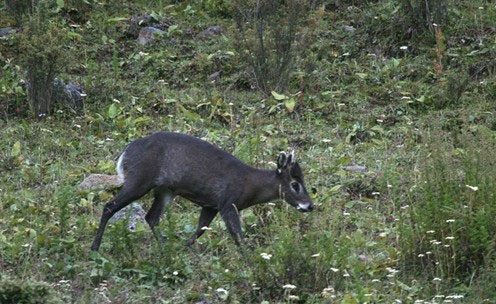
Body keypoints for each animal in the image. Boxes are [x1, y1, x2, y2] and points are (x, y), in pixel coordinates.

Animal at [91, 132, 312, 251]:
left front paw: (183, 249)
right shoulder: (227, 203)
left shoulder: (210, 205)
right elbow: (238, 237)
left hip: (165, 190)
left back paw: (164, 247)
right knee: (109, 206)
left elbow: (200, 230)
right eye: (295, 184)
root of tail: (124, 154)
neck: (248, 187)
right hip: (139, 180)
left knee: (151, 217)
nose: (310, 205)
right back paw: (95, 247)